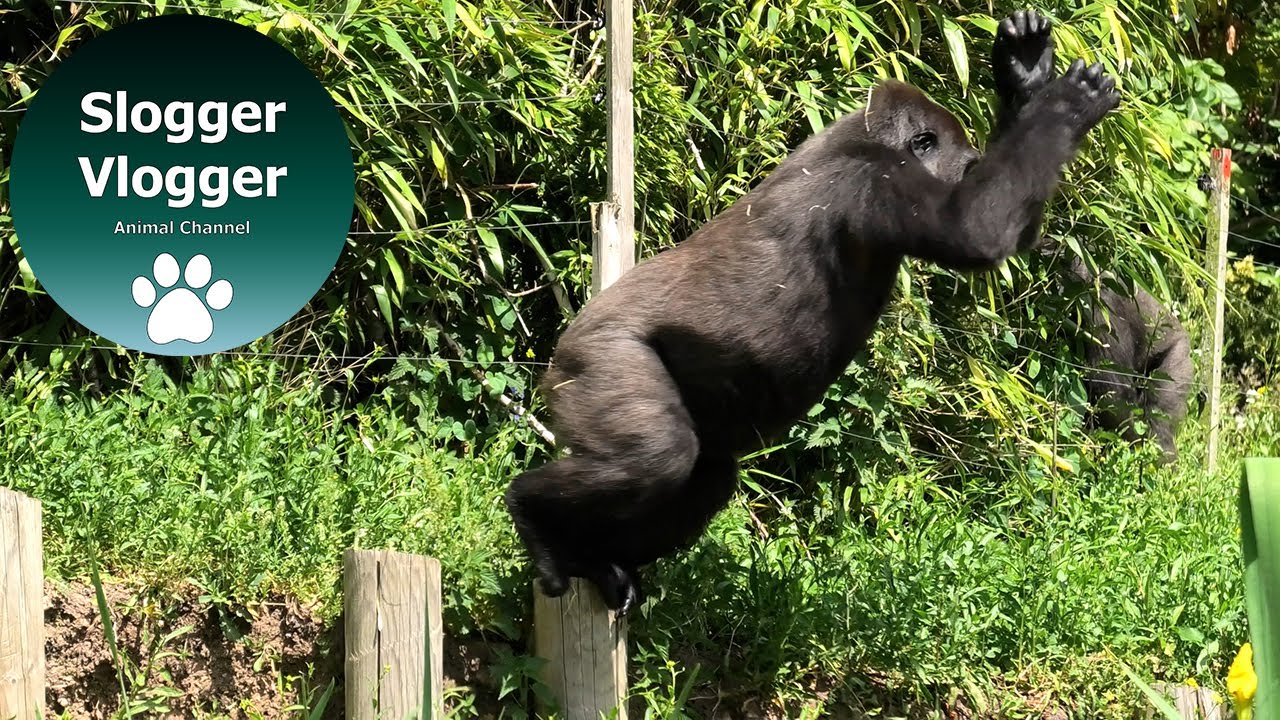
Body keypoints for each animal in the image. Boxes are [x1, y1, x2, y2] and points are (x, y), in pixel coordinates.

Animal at [505, 10, 1120, 616]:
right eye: (965, 164)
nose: (972, 164)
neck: (862, 135)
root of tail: (564, 346)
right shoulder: (876, 179)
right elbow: (978, 226)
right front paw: (1065, 101)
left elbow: (1009, 222)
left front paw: (1025, 77)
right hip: (598, 359)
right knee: (654, 456)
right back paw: (536, 518)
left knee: (705, 475)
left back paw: (594, 558)